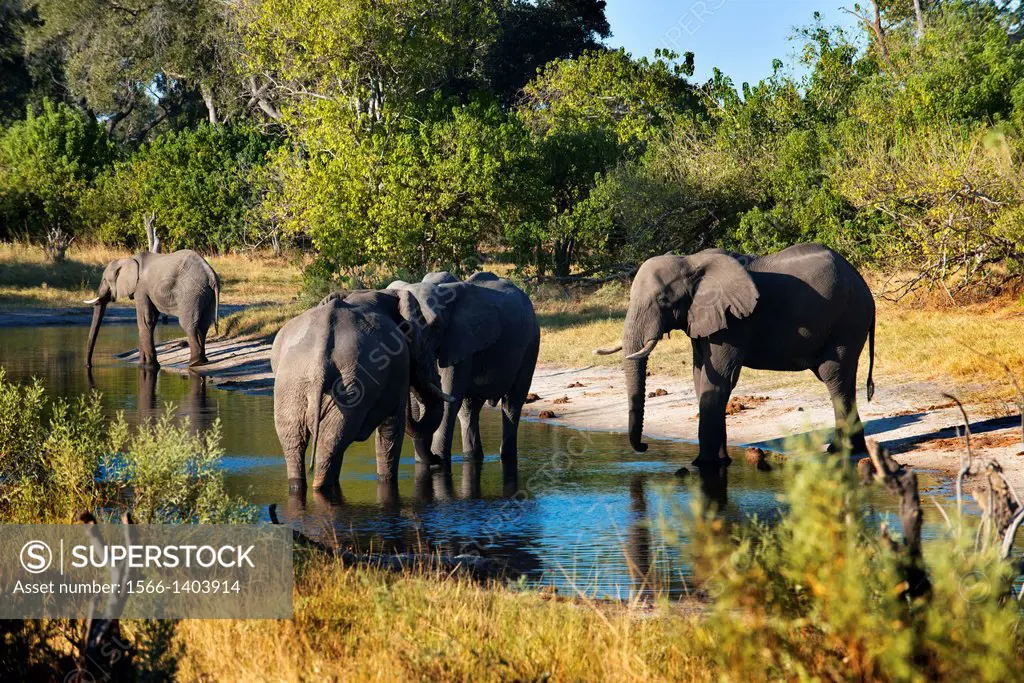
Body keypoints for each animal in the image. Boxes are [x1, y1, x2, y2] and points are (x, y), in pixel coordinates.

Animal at [84, 249, 220, 368]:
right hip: (206, 294)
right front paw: (143, 364)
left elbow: (144, 321)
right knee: (204, 324)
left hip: (191, 293)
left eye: (105, 280)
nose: (89, 365)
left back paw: (195, 362)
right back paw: (203, 360)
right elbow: (152, 321)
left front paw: (150, 365)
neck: (127, 260)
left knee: (188, 324)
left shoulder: (140, 288)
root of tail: (210, 274)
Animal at [270, 288, 454, 491]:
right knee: (332, 441)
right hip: (351, 388)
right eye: (426, 341)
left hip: (293, 385)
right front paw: (387, 481)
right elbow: (392, 429)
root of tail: (319, 360)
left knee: (295, 442)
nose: (437, 460)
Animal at [387, 274, 540, 481]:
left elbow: (448, 400)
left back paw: (506, 456)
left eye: (435, 326)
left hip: (531, 343)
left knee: (512, 404)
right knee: (469, 409)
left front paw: (439, 461)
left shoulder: (460, 339)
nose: (433, 458)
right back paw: (472, 457)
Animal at [598, 244, 876, 475]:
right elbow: (701, 379)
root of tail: (863, 285)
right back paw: (849, 450)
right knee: (841, 378)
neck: (689, 261)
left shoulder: (733, 322)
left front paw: (704, 465)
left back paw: (840, 451)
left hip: (849, 319)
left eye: (663, 300)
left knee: (834, 374)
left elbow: (719, 381)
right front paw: (721, 462)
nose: (644, 446)